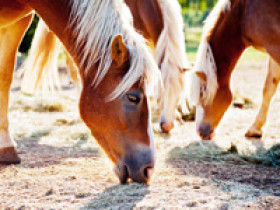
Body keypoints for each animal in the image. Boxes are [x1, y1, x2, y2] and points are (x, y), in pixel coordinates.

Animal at [187, 0, 280, 140]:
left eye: (202, 94)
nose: (200, 132)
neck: (242, 14)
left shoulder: (275, 49)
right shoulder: (272, 50)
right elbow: (268, 88)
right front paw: (255, 128)